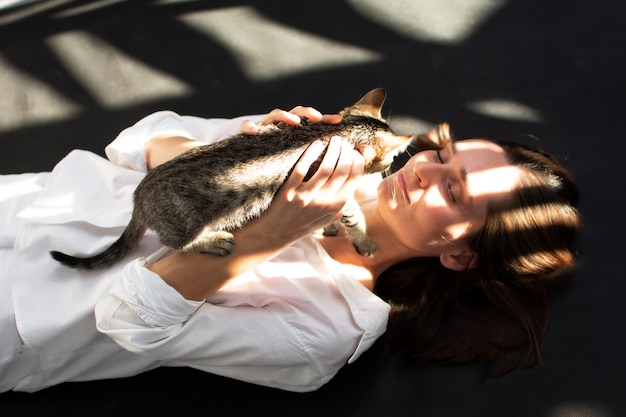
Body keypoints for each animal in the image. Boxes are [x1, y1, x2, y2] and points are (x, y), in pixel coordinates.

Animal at [51, 88, 414, 270]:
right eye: (391, 159)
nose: (387, 168)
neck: (330, 132)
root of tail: (138, 197)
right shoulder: (333, 186)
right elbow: (354, 214)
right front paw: (364, 242)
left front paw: (330, 229)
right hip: (186, 222)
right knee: (177, 243)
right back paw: (213, 240)